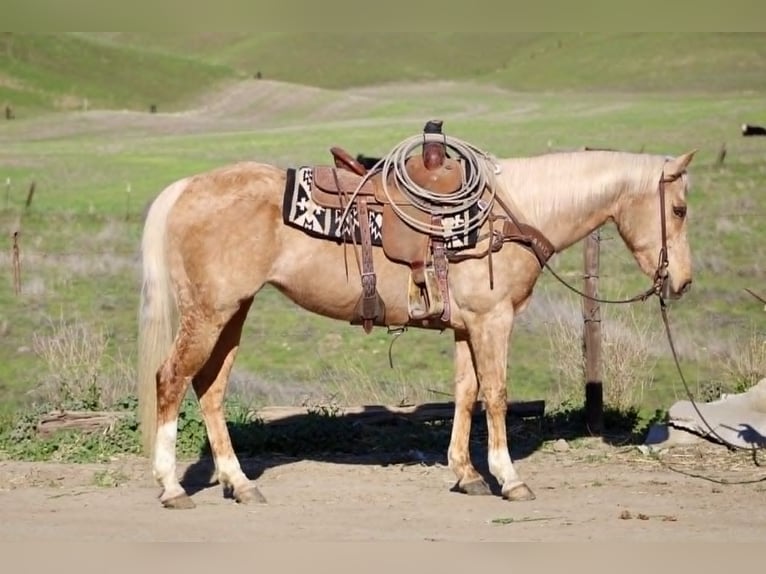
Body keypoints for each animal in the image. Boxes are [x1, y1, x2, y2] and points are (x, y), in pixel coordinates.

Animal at [137, 143, 695, 509]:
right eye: (679, 208)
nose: (683, 281)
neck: (510, 215)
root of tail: (186, 188)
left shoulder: (469, 326)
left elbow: (466, 394)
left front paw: (466, 474)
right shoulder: (493, 320)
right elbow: (496, 394)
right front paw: (508, 478)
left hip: (233, 311)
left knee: (210, 390)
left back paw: (241, 484)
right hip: (210, 312)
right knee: (171, 380)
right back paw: (172, 487)